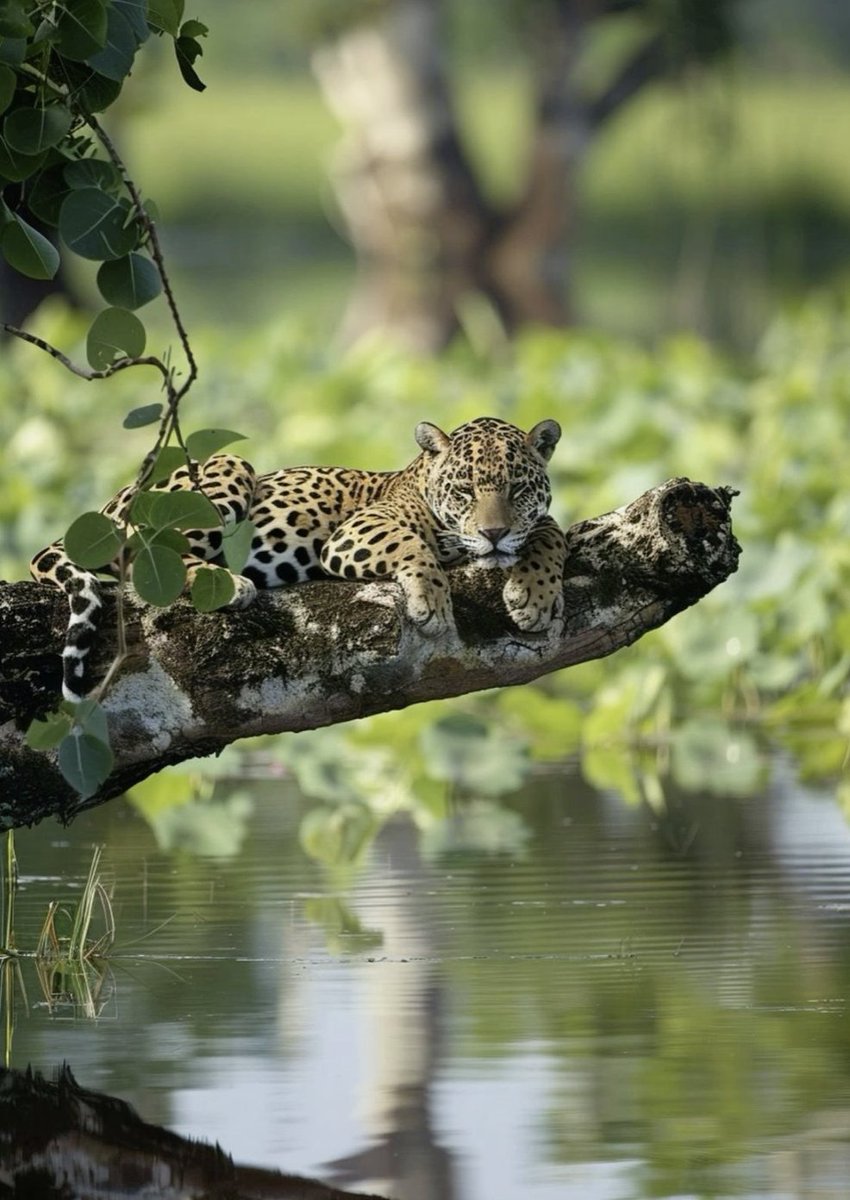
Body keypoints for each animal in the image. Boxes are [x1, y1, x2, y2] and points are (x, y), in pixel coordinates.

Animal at [31, 416, 568, 703]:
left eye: (517, 489)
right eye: (463, 491)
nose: (494, 534)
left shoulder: (533, 524)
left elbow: (551, 532)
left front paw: (534, 595)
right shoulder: (356, 533)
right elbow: (414, 546)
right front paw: (431, 603)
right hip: (225, 468)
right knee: (142, 560)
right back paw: (230, 583)